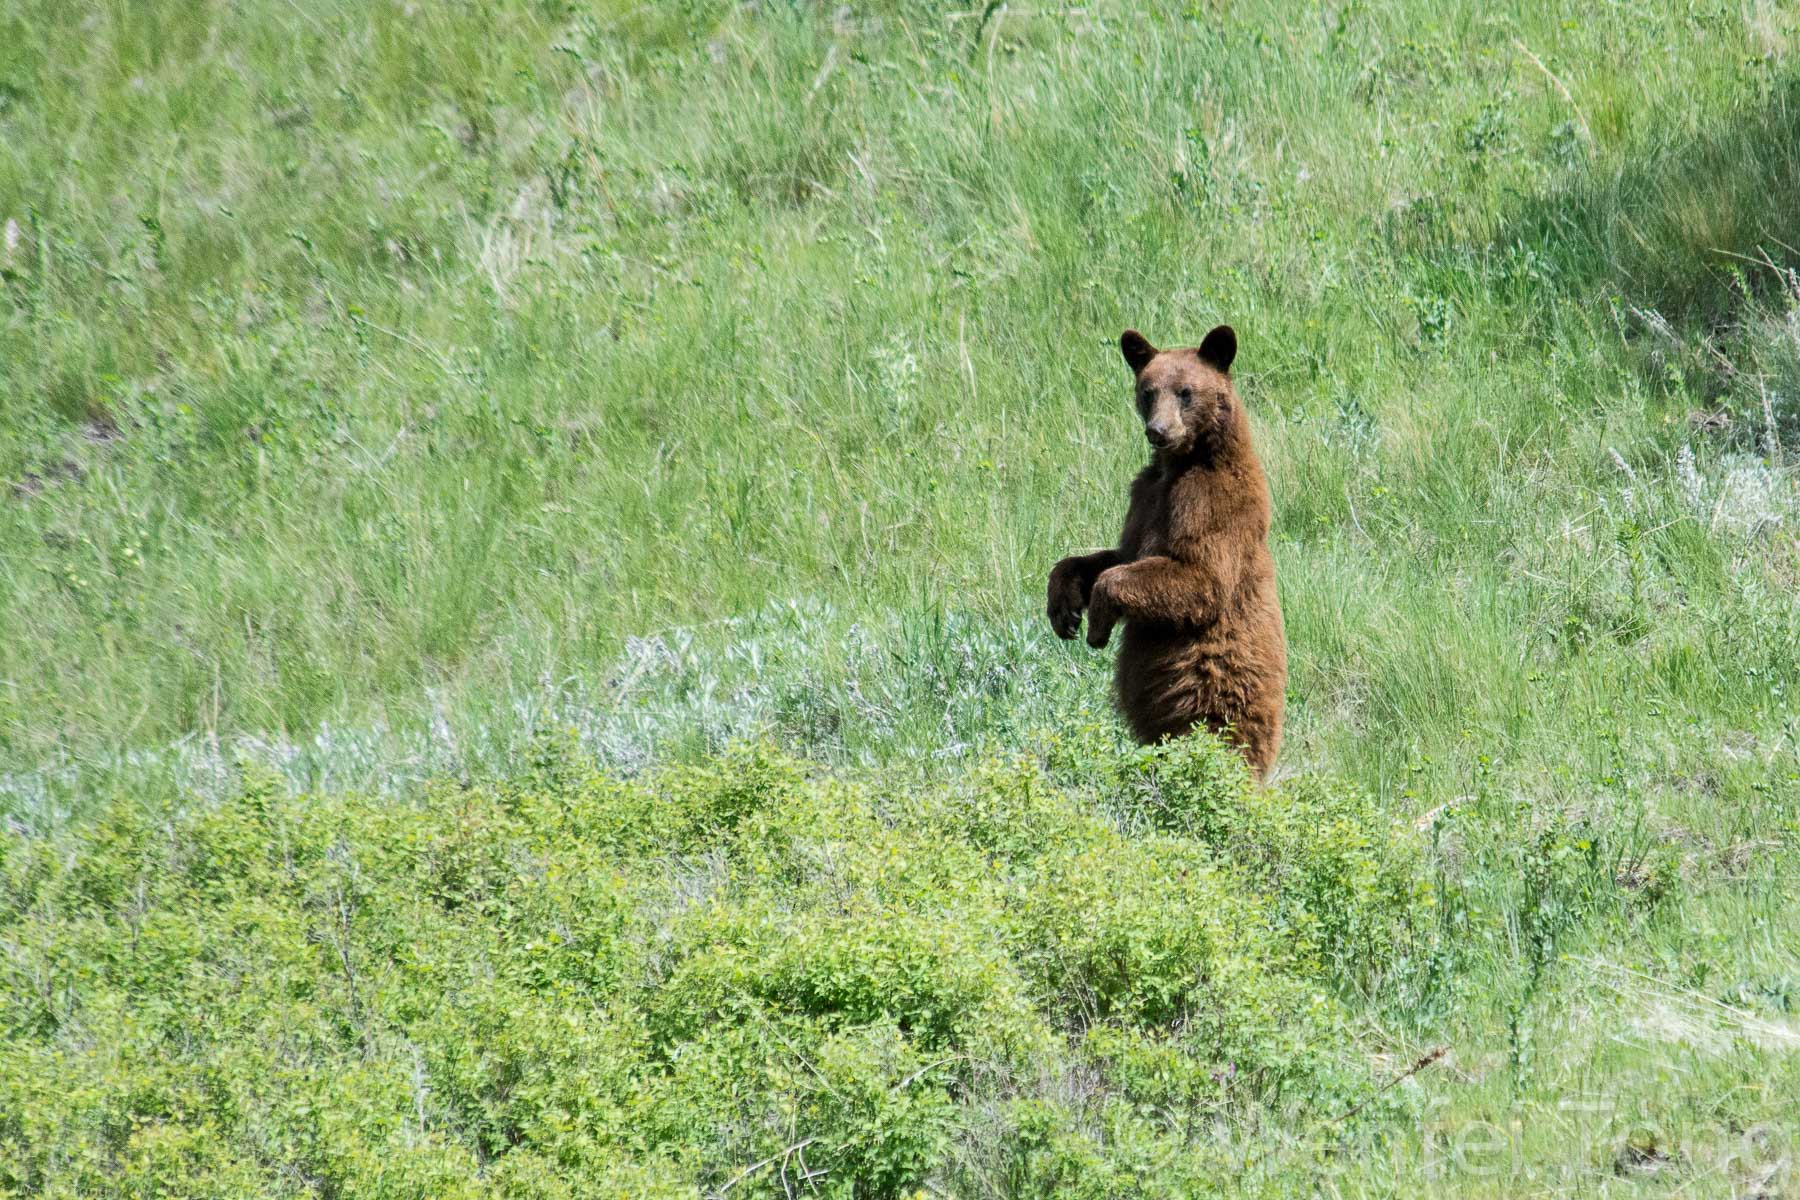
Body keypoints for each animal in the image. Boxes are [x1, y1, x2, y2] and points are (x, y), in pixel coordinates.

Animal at [1051, 325, 1288, 780]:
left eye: (1185, 392)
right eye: (1147, 392)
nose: (1158, 431)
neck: (1180, 464)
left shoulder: (1210, 502)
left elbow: (1197, 578)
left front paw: (1098, 626)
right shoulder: (1144, 498)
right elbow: (1118, 556)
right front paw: (1064, 609)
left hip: (1210, 701)